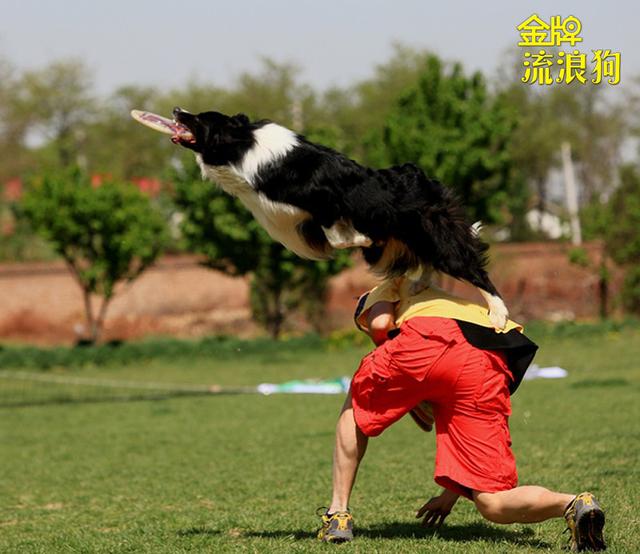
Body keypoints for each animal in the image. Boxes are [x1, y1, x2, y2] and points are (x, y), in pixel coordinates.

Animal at [172, 108, 508, 328]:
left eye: (199, 118)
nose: (176, 109)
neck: (243, 144)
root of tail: (425, 180)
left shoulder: (324, 201)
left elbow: (337, 237)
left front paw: (361, 237)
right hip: (416, 235)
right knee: (429, 258)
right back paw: (418, 284)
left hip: (433, 233)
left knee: (472, 268)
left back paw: (498, 314)